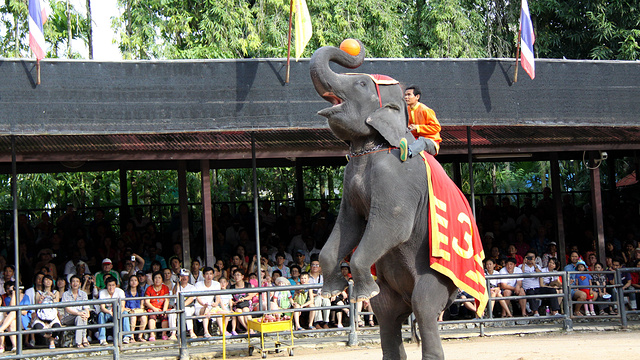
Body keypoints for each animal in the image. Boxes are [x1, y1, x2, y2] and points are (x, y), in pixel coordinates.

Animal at [310, 40, 460, 358]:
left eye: (362, 84)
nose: (353, 47)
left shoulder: (396, 177)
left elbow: (392, 226)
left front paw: (360, 292)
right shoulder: (349, 178)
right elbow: (348, 224)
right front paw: (332, 291)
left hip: (439, 279)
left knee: (424, 307)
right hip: (392, 295)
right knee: (386, 313)